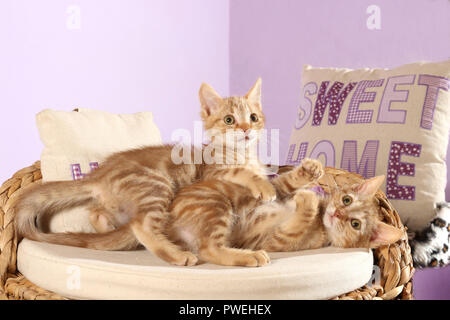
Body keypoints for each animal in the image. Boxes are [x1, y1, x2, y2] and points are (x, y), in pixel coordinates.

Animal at [14, 79, 274, 266]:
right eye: (229, 120)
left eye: (253, 118)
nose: (246, 129)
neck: (242, 154)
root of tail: (100, 174)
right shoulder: (212, 173)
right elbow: (240, 173)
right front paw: (263, 186)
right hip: (156, 184)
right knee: (146, 228)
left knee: (97, 214)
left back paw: (109, 230)